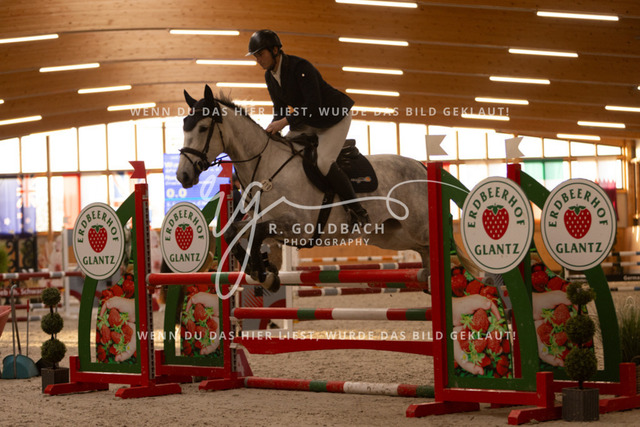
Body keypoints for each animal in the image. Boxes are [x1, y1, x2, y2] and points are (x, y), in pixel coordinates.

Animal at [177, 85, 431, 291]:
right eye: (184, 128)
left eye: (203, 128)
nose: (183, 175)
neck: (267, 166)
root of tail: (421, 166)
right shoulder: (261, 219)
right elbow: (232, 232)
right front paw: (262, 272)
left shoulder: (299, 226)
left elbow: (258, 233)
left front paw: (262, 271)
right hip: (389, 235)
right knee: (423, 250)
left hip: (417, 227)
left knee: (431, 246)